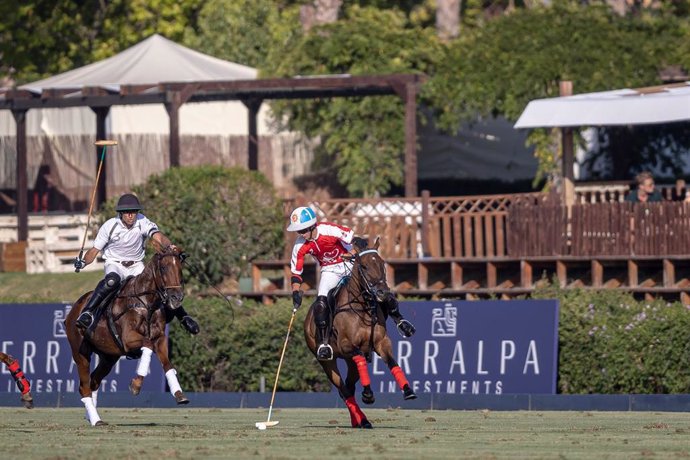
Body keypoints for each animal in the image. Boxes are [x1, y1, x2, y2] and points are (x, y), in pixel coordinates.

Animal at [65, 246, 188, 426]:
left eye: (180, 268)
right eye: (164, 268)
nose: (176, 298)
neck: (146, 302)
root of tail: (73, 310)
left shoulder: (160, 339)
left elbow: (167, 364)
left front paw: (179, 394)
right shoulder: (128, 339)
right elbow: (148, 345)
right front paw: (136, 385)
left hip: (108, 357)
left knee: (94, 381)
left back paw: (91, 416)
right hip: (80, 352)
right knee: (84, 386)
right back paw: (96, 420)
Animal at [306, 239, 414, 430]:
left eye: (382, 264)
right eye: (363, 266)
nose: (382, 293)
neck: (361, 307)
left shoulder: (381, 342)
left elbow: (392, 362)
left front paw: (408, 390)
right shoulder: (347, 345)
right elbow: (361, 358)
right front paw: (368, 395)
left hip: (350, 363)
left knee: (348, 388)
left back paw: (358, 420)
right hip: (327, 362)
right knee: (343, 388)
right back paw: (362, 420)